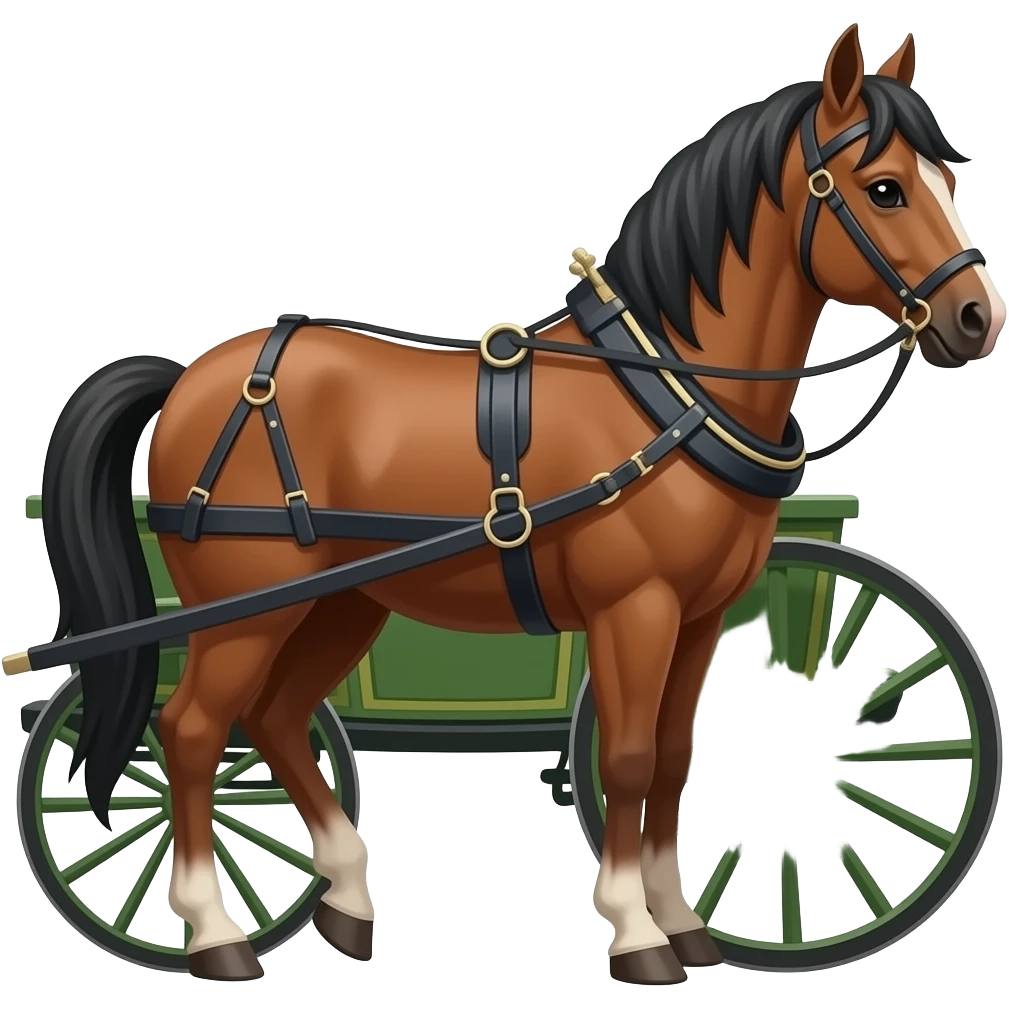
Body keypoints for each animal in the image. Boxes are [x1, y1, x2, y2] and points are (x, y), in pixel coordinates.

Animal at [33, 23, 1004, 984]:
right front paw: (636, 931)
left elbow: (672, 759)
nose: (974, 318)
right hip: (243, 614)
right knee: (193, 731)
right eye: (883, 189)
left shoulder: (698, 617)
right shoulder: (634, 611)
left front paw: (681, 920)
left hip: (337, 605)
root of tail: (189, 376)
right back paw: (215, 932)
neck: (667, 390)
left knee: (273, 718)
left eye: (948, 182)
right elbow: (627, 757)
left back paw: (347, 899)